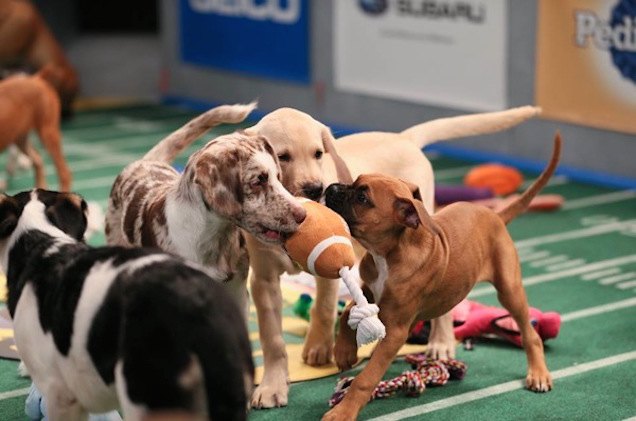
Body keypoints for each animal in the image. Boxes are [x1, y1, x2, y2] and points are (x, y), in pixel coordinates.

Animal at [322, 135, 560, 420]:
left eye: (362, 197)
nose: (330, 188)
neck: (389, 253)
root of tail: (494, 215)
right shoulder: (369, 291)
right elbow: (348, 311)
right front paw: (344, 353)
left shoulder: (395, 332)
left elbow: (366, 379)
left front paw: (343, 412)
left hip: (509, 289)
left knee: (530, 333)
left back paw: (538, 374)